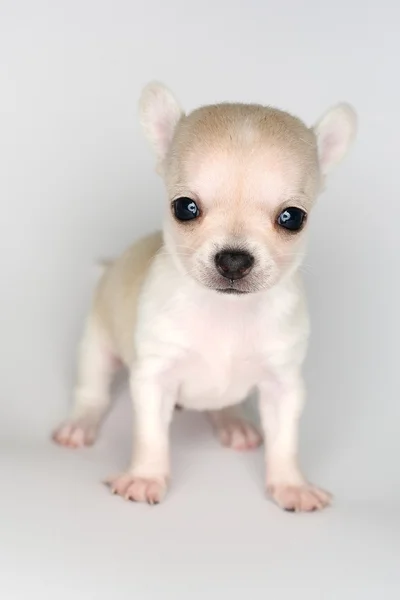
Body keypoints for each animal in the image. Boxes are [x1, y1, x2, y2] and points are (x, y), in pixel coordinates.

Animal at [52, 81, 356, 510]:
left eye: (293, 218)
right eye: (184, 208)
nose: (233, 259)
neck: (225, 310)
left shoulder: (283, 386)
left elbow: (285, 441)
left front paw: (291, 484)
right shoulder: (154, 379)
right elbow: (150, 436)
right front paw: (145, 477)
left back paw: (233, 423)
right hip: (96, 346)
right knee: (92, 390)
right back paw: (80, 424)